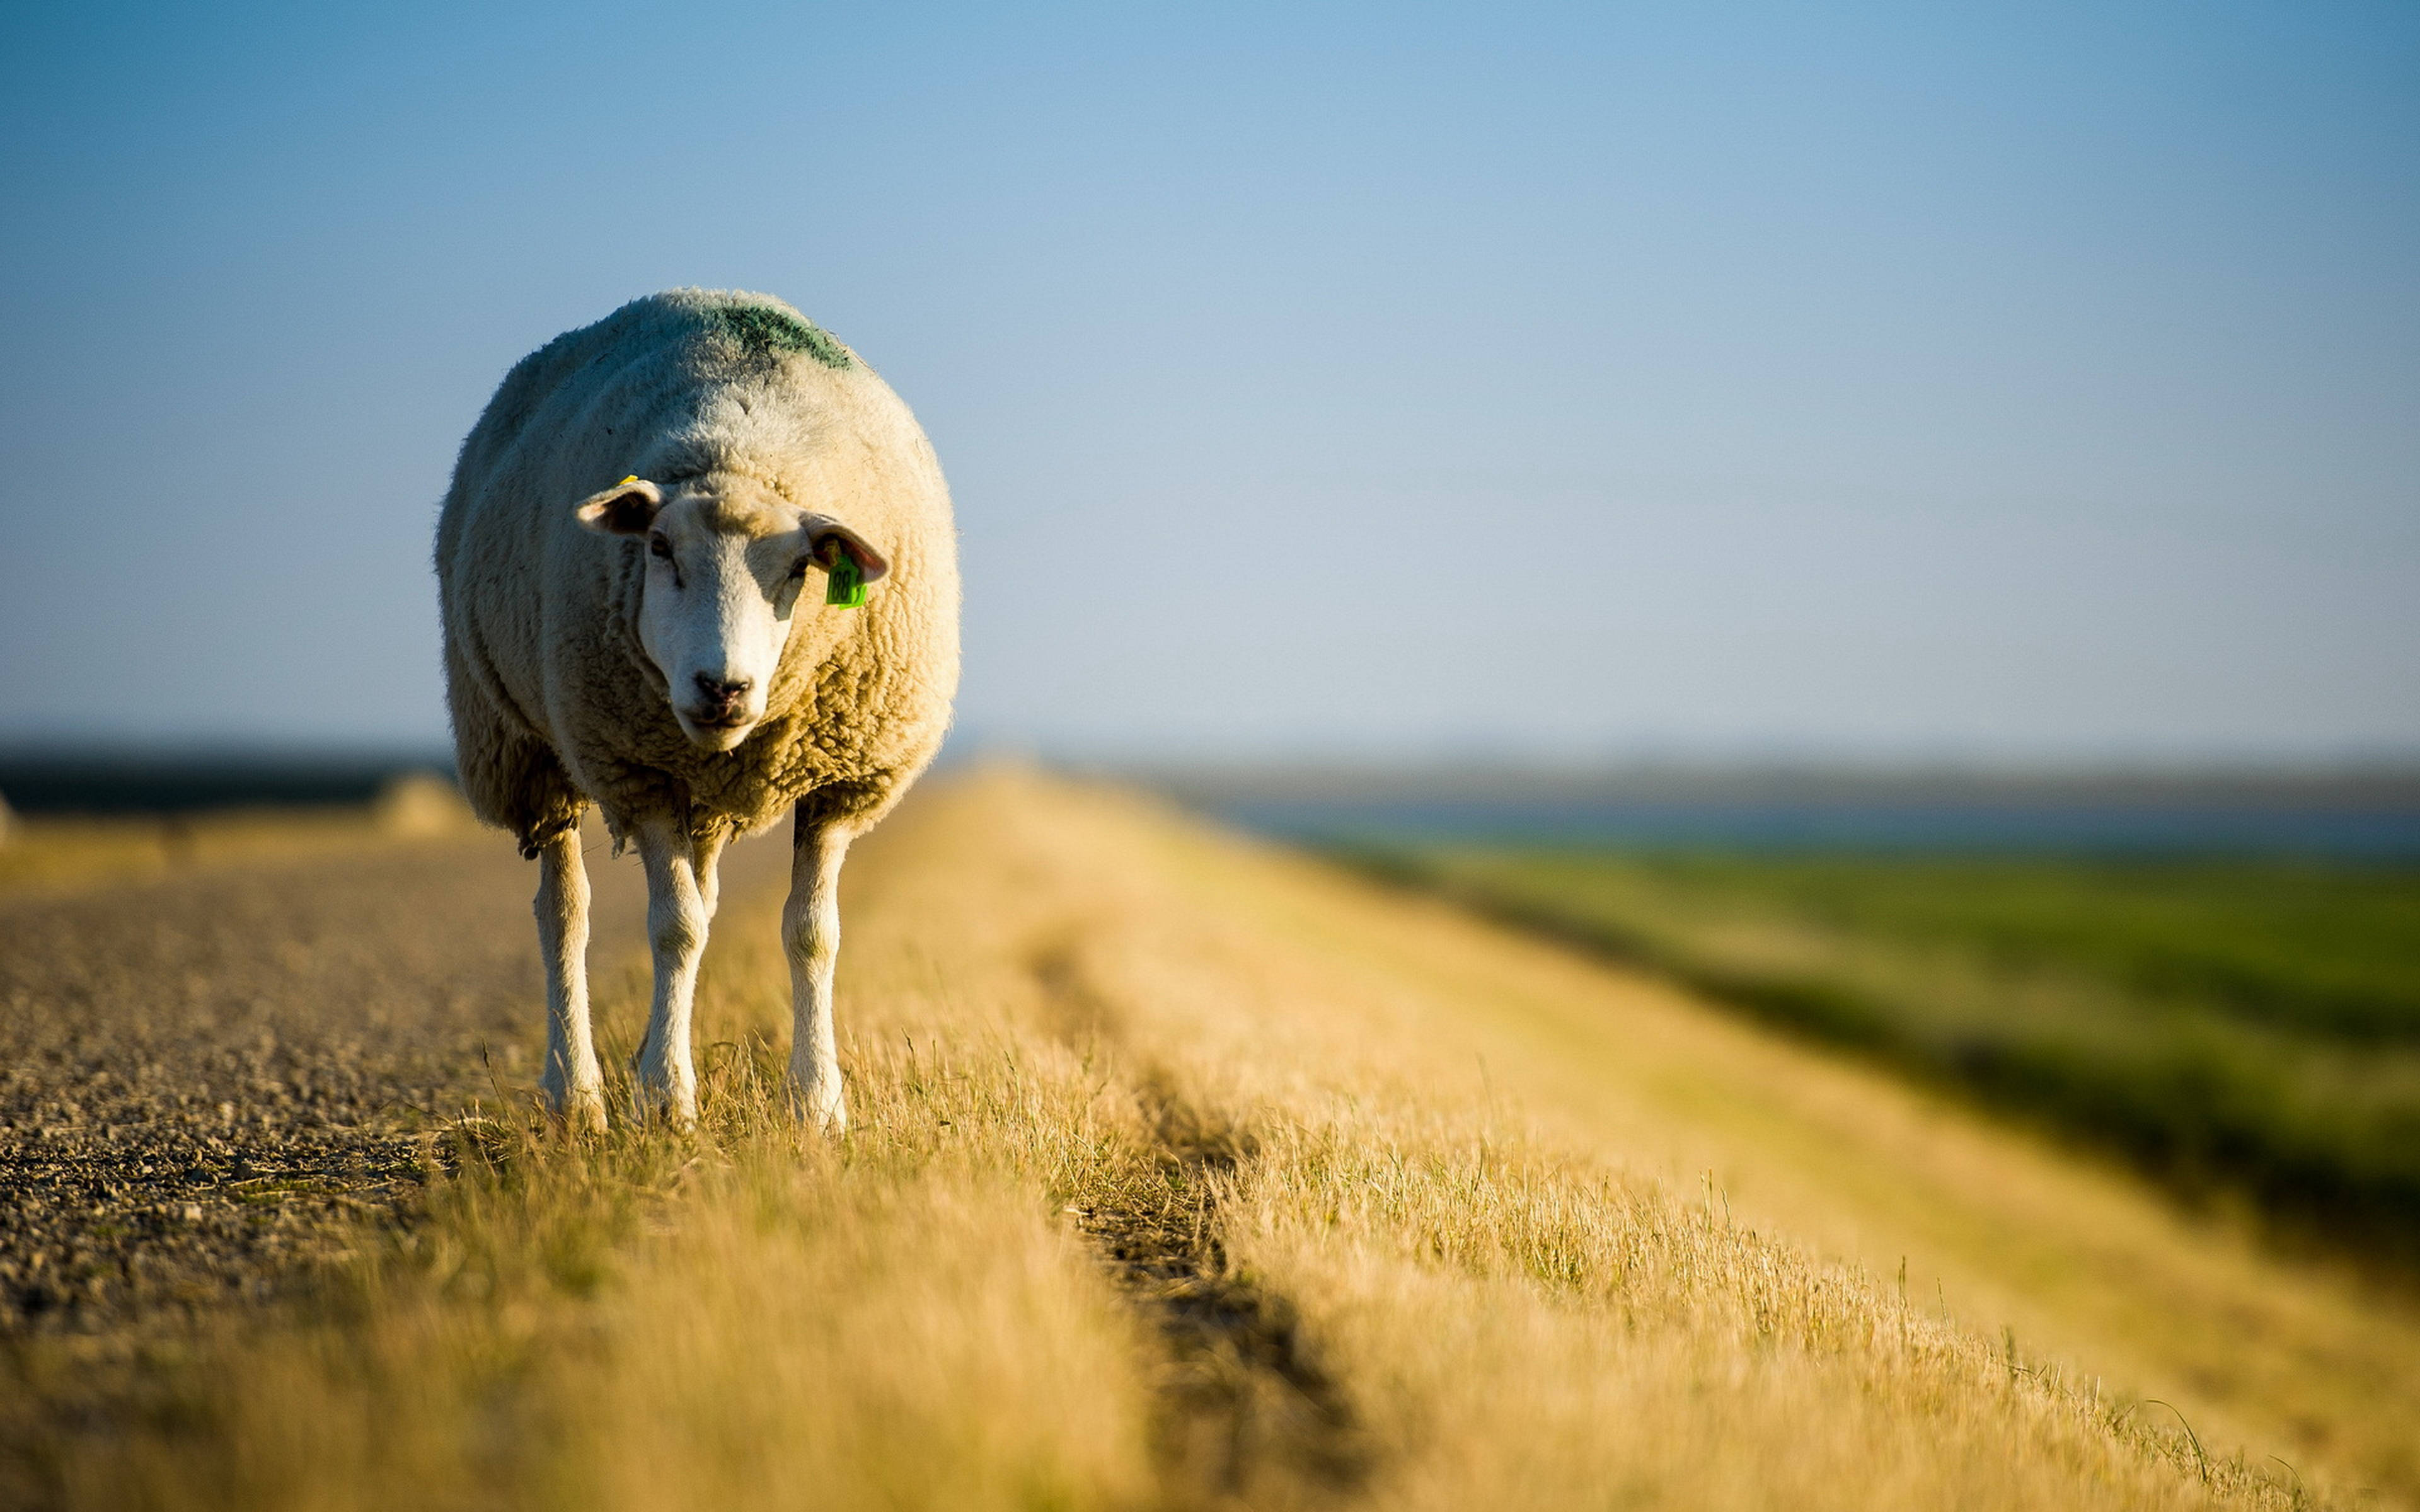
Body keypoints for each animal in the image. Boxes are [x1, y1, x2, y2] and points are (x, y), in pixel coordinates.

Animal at [430, 289, 958, 1127]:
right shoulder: (637, 768)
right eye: (658, 548)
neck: (740, 449)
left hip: (693, 792)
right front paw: (667, 1100)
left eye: (801, 568)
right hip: (529, 747)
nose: (724, 687)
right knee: (564, 914)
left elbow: (812, 934)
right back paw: (576, 1093)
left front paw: (816, 1105)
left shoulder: (839, 781)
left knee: (700, 899)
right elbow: (672, 930)